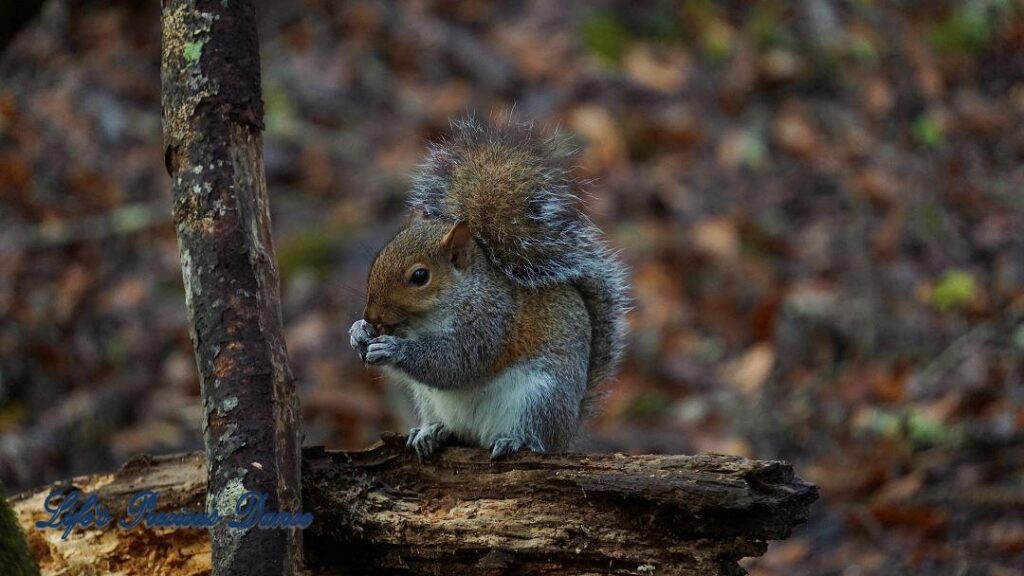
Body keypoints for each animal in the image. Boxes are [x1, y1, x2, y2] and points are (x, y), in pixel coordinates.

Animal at [348, 116, 626, 457]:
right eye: (379, 257)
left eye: (419, 276)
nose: (371, 316)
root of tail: (567, 434)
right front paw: (358, 333)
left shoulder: (490, 321)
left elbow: (456, 361)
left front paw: (393, 349)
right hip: (428, 399)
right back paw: (432, 431)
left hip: (540, 397)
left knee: (536, 435)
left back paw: (516, 440)